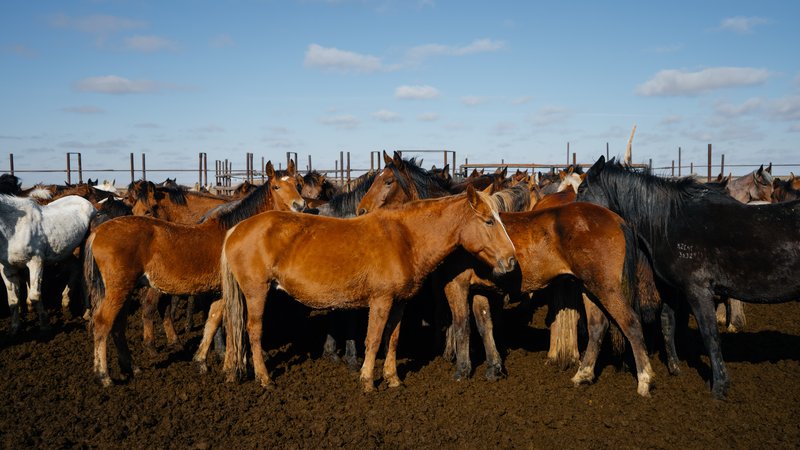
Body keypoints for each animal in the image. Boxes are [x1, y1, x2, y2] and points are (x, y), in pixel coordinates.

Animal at [0, 194, 95, 334]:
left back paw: (87, 312)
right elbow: (13, 300)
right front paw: (15, 328)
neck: (14, 228)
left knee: (85, 278)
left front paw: (45, 326)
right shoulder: (8, 269)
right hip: (64, 252)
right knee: (75, 268)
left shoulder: (36, 261)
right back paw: (66, 302)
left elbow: (35, 296)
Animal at [83, 165, 304, 386]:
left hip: (125, 291)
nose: (300, 206)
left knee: (118, 326)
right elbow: (229, 325)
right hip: (119, 290)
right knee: (102, 323)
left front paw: (202, 361)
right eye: (276, 187)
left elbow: (212, 322)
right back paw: (104, 375)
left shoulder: (220, 292)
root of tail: (98, 232)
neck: (234, 232)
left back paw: (131, 367)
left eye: (297, 184)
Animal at [222, 185, 516, 392]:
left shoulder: (399, 303)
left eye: (500, 219)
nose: (511, 260)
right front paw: (367, 380)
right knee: (254, 332)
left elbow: (392, 339)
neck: (405, 238)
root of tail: (236, 229)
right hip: (257, 292)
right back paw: (264, 378)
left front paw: (393, 378)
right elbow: (373, 339)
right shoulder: (380, 300)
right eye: (489, 221)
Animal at [576, 156, 800, 400]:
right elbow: (668, 323)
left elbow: (710, 335)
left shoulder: (698, 289)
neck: (669, 221)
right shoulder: (673, 288)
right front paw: (675, 368)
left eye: (581, 188)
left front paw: (719, 387)